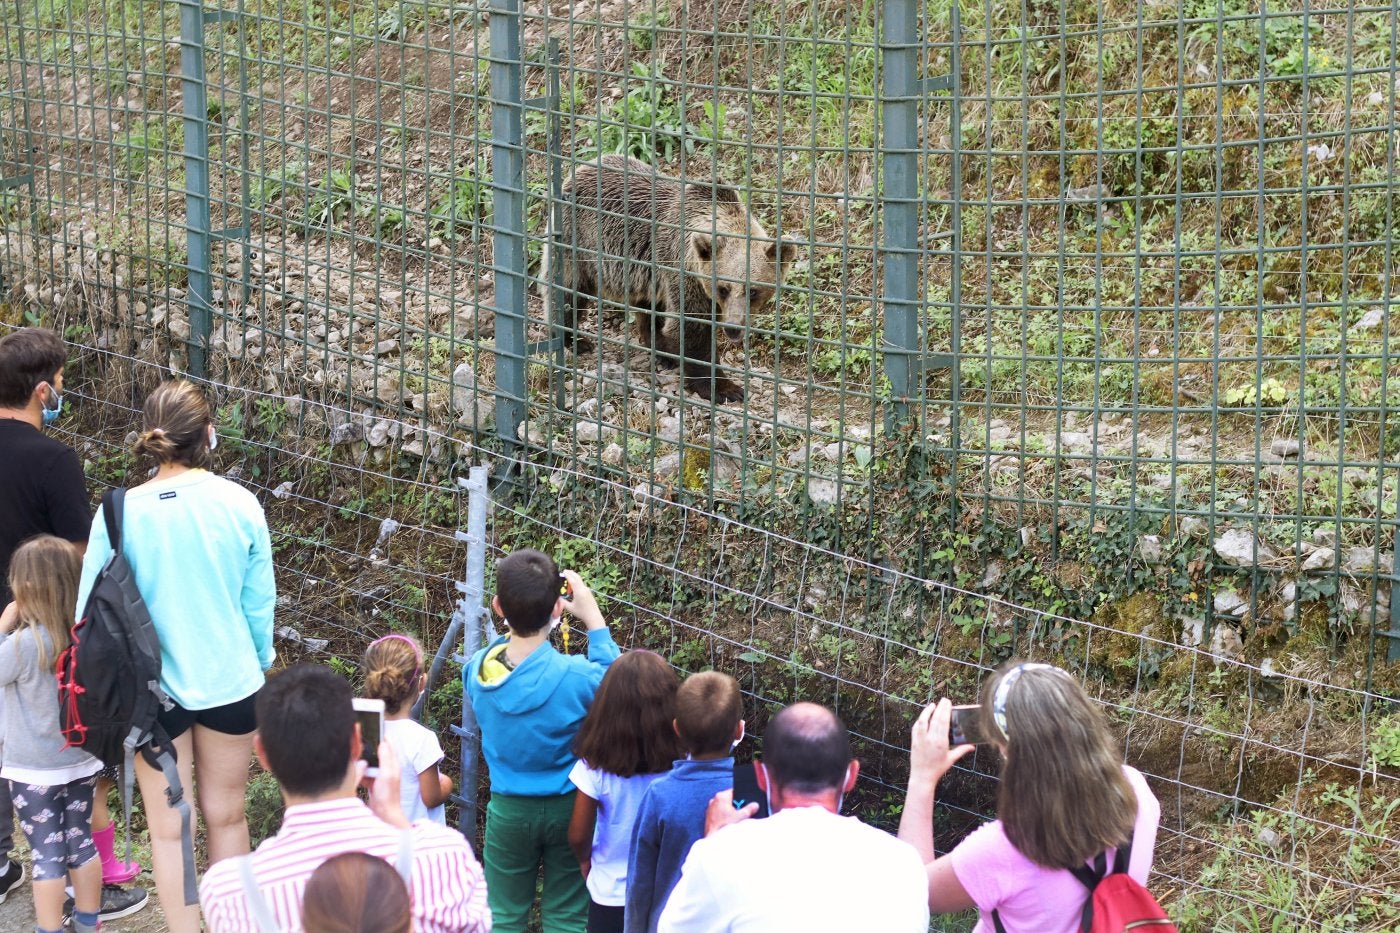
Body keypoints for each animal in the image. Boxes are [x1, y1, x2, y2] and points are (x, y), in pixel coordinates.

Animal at [540, 153, 795, 400]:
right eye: (723, 288)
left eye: (753, 291)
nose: (733, 327)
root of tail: (582, 168)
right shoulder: (684, 272)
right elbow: (691, 327)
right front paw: (725, 388)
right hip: (578, 239)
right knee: (568, 290)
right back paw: (572, 339)